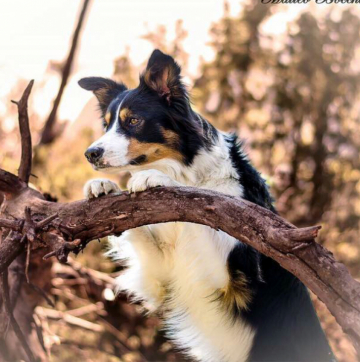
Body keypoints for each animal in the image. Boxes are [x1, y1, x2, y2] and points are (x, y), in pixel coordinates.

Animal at [79, 49, 334, 360]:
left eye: (133, 121)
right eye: (107, 124)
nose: (91, 153)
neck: (189, 168)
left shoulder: (230, 277)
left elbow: (200, 204)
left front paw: (156, 178)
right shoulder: (160, 270)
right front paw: (103, 186)